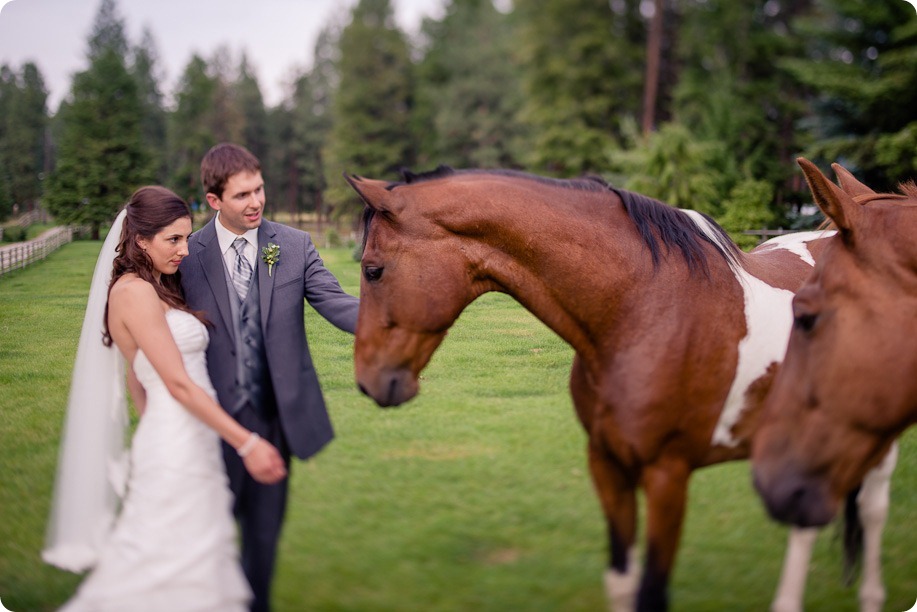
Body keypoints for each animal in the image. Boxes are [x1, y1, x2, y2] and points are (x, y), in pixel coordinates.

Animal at [348, 167, 892, 612]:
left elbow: (652, 593)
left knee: (870, 513)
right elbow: (621, 584)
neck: (642, 310)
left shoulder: (668, 474)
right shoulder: (607, 464)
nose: (368, 381)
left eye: (373, 270)